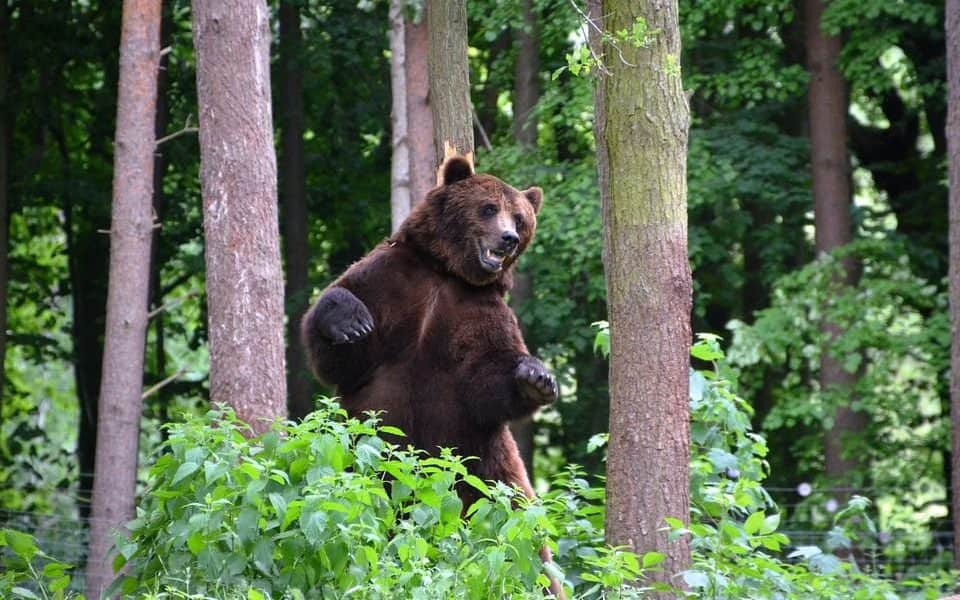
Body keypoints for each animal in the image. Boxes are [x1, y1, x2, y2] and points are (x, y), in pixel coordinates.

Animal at [302, 154, 564, 596]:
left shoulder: (478, 311)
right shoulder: (391, 279)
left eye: (520, 217)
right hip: (366, 455)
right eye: (488, 208)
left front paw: (535, 377)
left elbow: (486, 380)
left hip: (481, 464)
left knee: (519, 532)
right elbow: (339, 351)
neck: (448, 273)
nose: (509, 238)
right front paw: (348, 321)